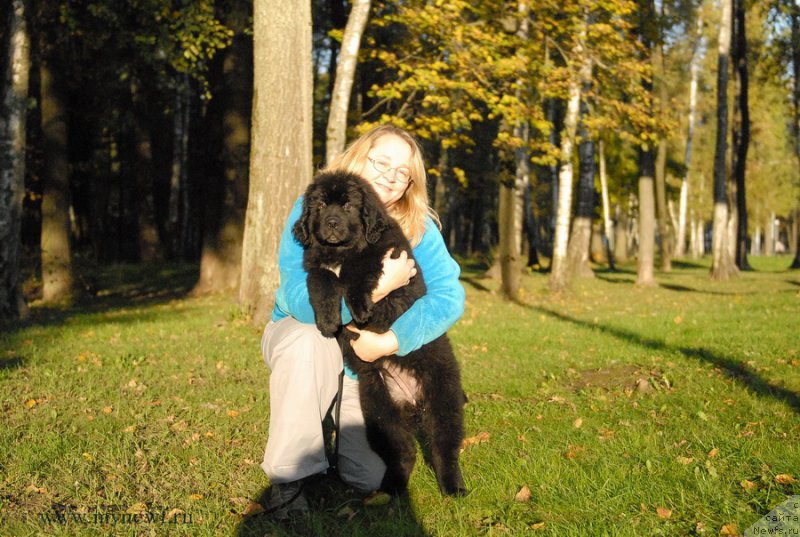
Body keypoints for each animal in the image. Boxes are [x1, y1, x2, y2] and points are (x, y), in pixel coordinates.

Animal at [294, 170, 468, 496]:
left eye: (348, 206)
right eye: (320, 206)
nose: (332, 224)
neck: (340, 250)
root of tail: (412, 402)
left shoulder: (385, 252)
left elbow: (357, 270)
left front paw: (360, 309)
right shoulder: (315, 264)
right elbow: (321, 280)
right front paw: (327, 320)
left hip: (443, 397)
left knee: (444, 447)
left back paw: (454, 488)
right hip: (379, 408)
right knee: (404, 452)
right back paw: (390, 491)